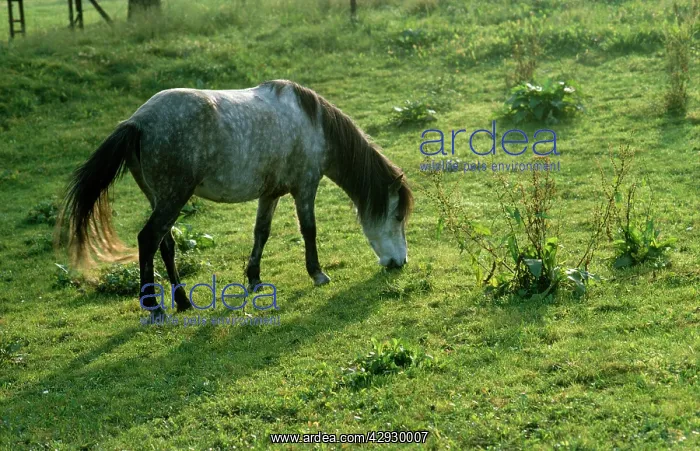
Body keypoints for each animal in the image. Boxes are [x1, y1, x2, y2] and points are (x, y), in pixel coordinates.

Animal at [56, 79, 413, 315]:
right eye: (397, 215)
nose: (400, 263)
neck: (313, 124)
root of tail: (137, 122)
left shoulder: (270, 194)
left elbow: (261, 233)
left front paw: (254, 279)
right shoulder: (305, 187)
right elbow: (309, 230)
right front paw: (317, 274)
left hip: (160, 198)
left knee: (165, 244)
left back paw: (183, 301)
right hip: (173, 196)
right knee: (148, 239)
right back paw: (154, 307)